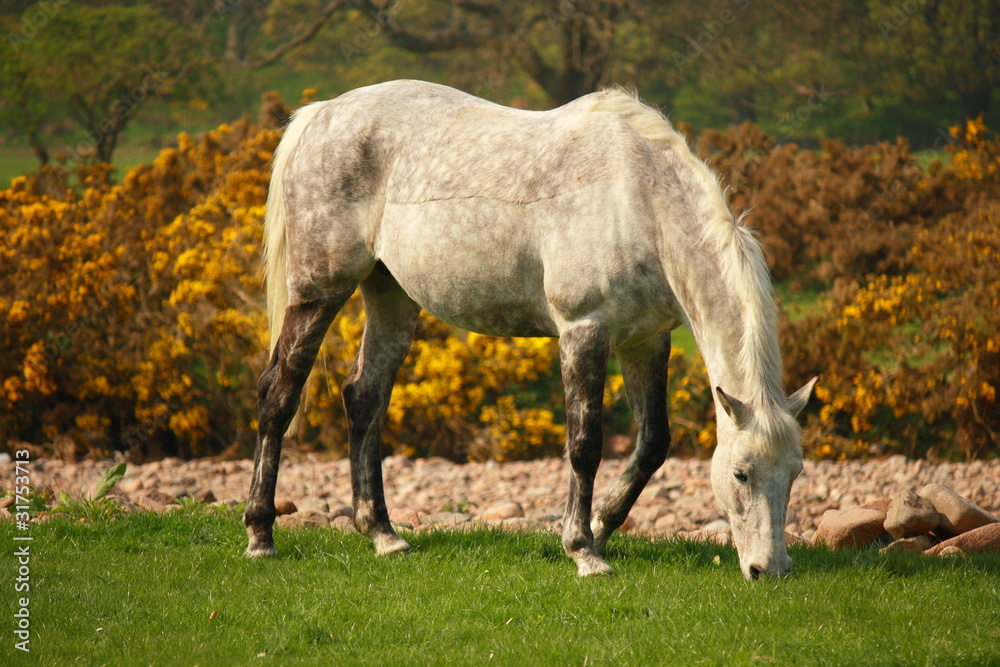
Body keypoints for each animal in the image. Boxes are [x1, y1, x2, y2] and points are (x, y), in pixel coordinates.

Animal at [246, 79, 816, 580]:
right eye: (741, 473)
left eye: (795, 473)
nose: (770, 570)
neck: (639, 200)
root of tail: (320, 113)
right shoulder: (584, 332)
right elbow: (585, 444)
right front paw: (584, 551)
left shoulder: (646, 341)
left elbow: (654, 442)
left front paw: (602, 525)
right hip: (319, 290)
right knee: (279, 394)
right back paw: (260, 535)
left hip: (391, 296)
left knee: (364, 397)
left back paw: (382, 534)